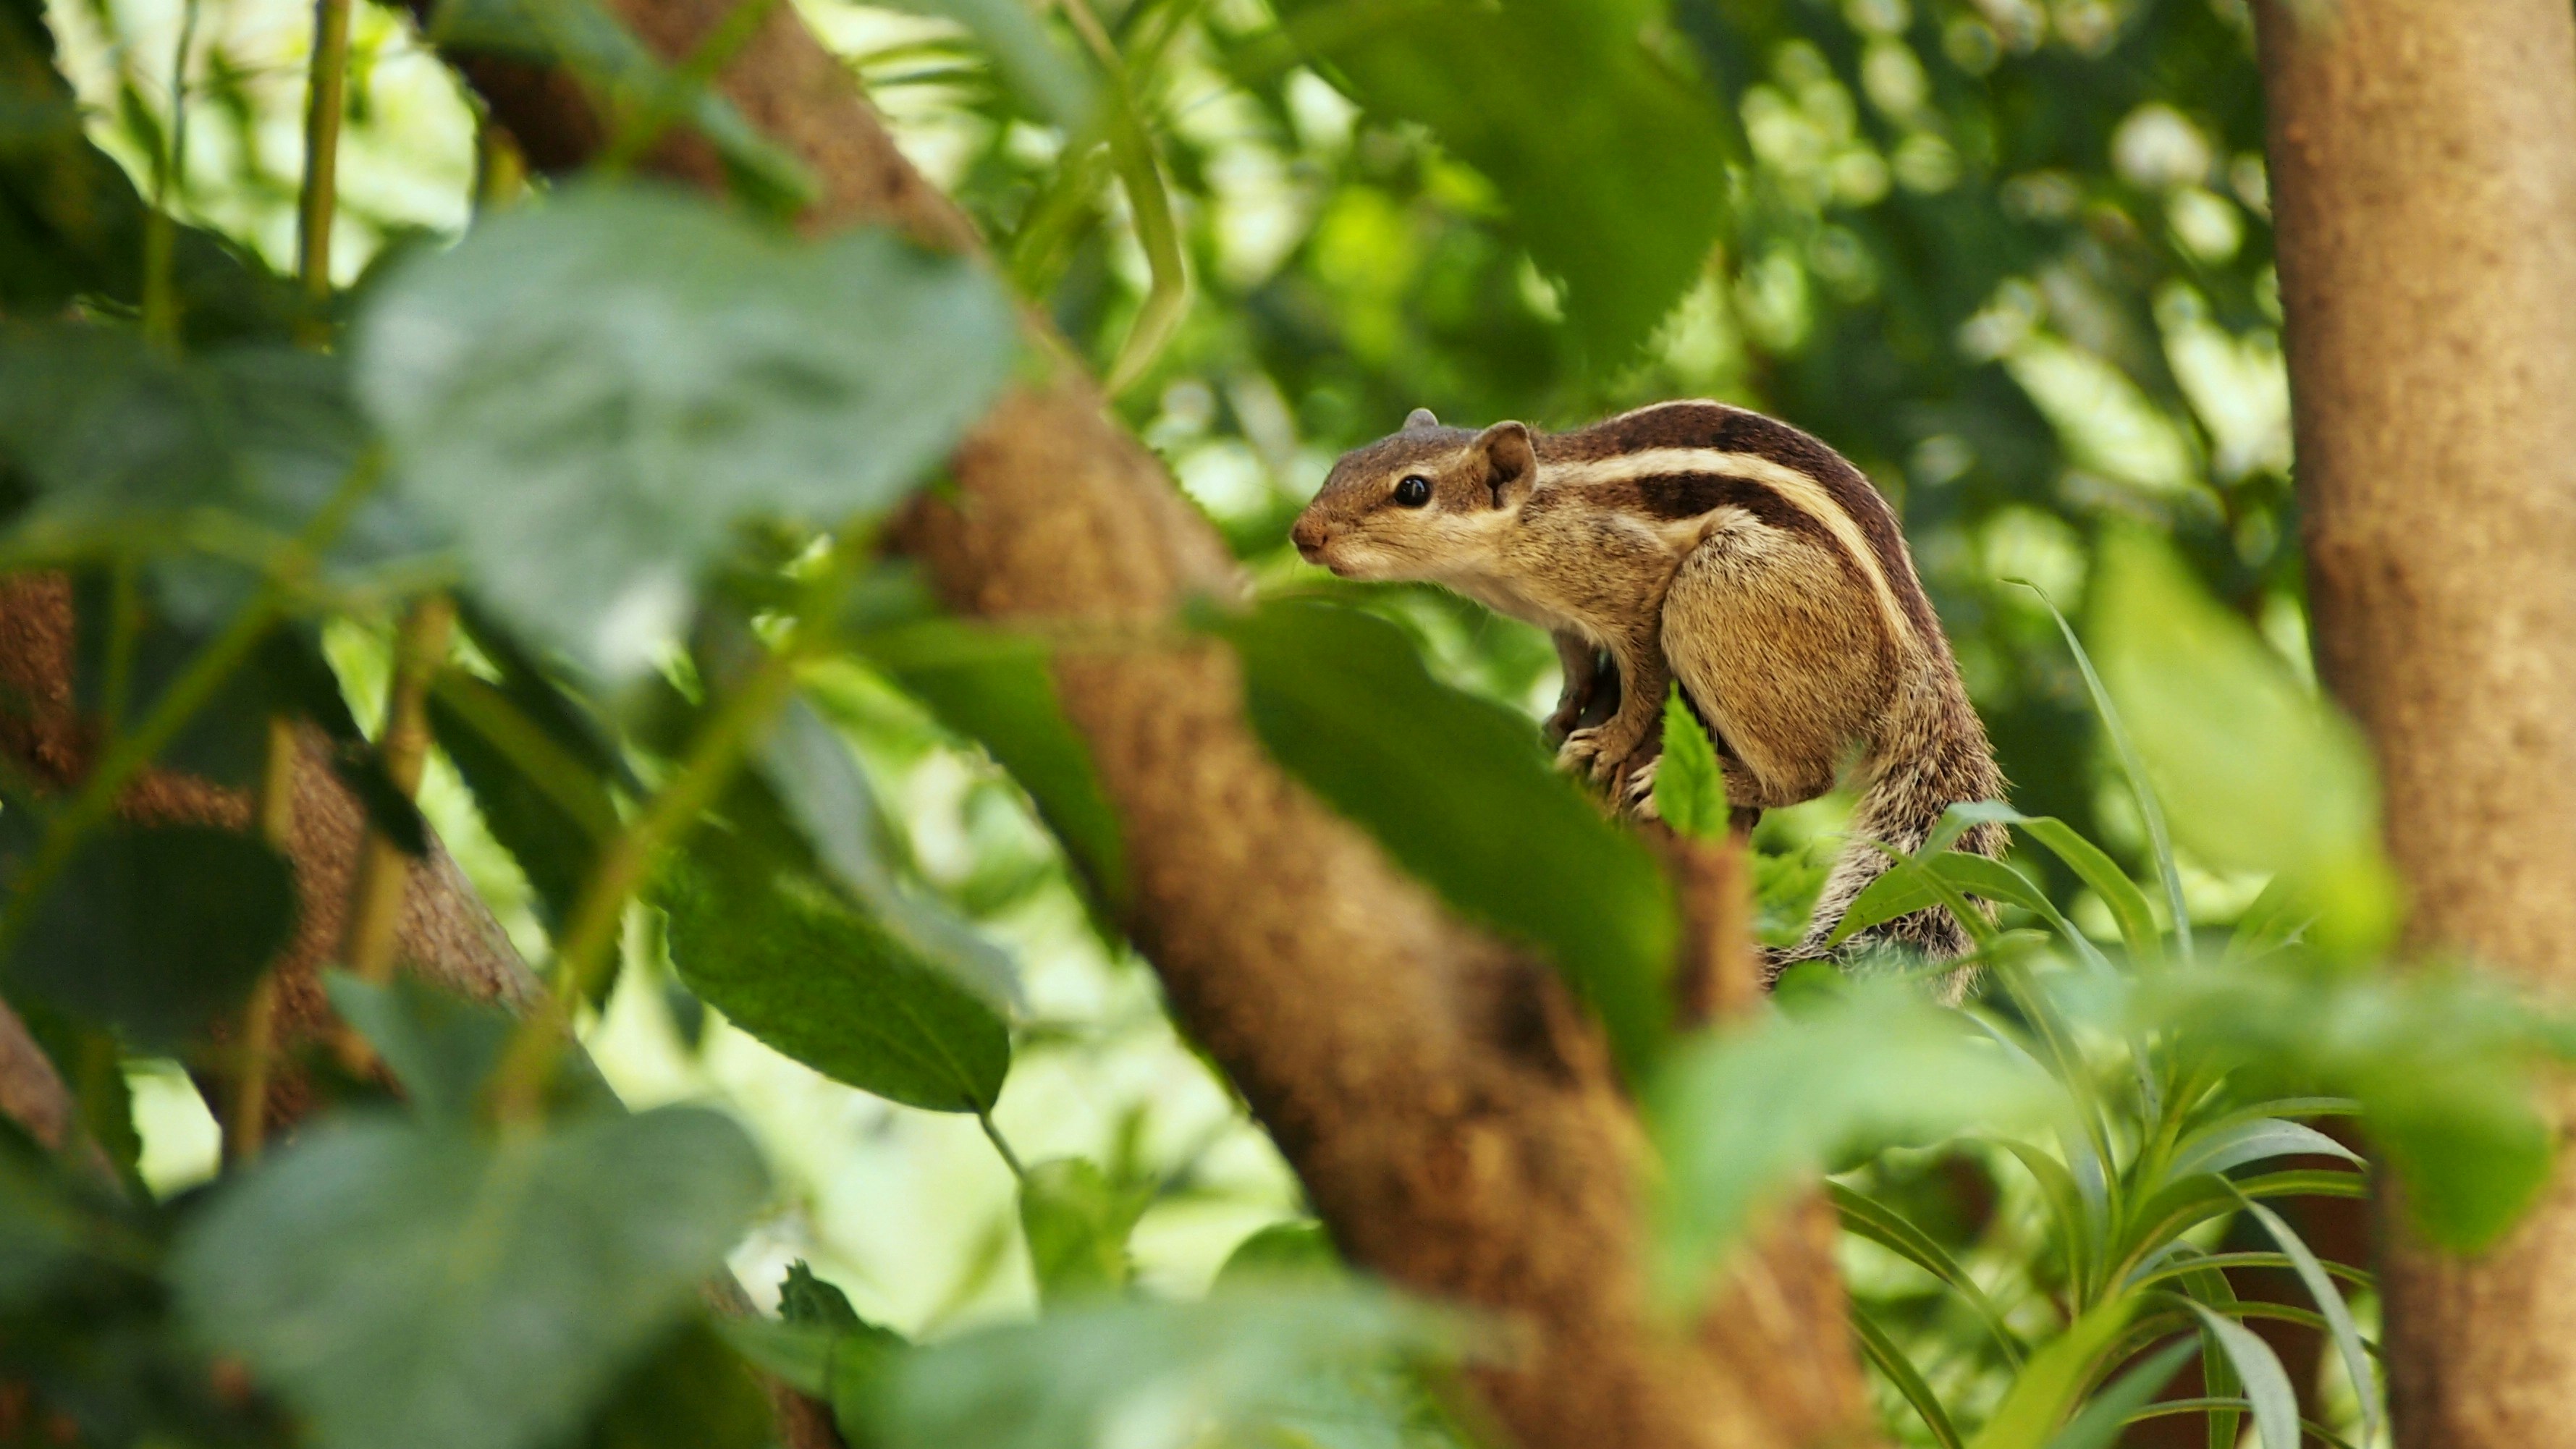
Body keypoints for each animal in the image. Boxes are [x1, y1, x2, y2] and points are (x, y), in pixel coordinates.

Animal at [1289, 399, 2006, 969]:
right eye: (1345, 462)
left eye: (1413, 491)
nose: (1302, 533)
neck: (1520, 532)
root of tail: (1916, 666)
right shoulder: (1561, 620)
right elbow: (1578, 667)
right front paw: (1561, 719)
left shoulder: (1635, 590)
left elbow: (1643, 681)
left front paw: (1606, 745)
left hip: (1714, 594)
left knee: (1807, 777)